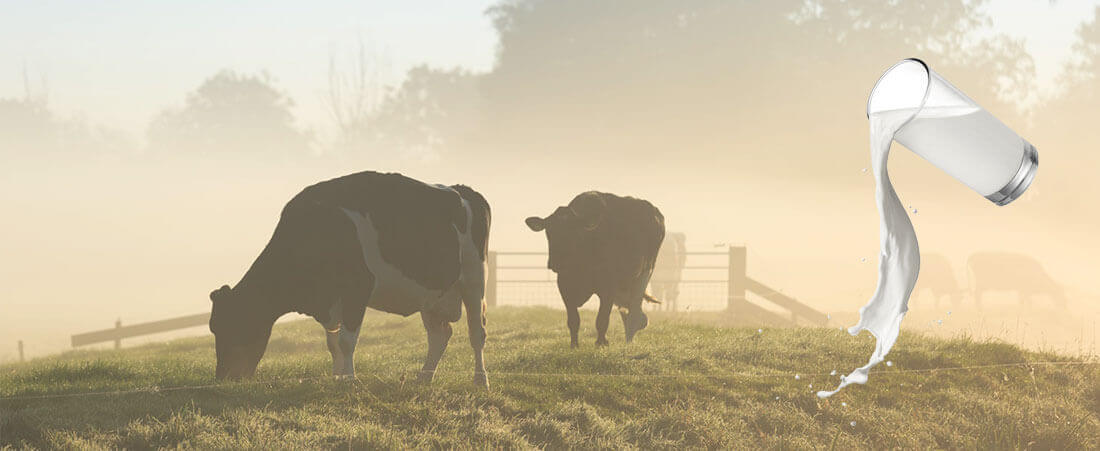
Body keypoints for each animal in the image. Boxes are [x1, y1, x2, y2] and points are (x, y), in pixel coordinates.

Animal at [208, 171, 491, 388]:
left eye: (235, 325)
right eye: (214, 328)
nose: (223, 378)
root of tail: (463, 190)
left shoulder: (357, 290)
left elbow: (346, 341)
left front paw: (351, 380)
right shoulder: (332, 301)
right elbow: (332, 343)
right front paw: (338, 377)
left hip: (474, 280)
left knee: (476, 332)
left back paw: (480, 380)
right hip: (430, 294)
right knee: (440, 335)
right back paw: (423, 378)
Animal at [525, 191, 664, 347]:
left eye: (572, 231)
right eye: (549, 231)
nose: (555, 262)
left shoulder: (608, 288)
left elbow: (602, 319)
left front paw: (601, 343)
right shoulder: (564, 286)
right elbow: (573, 320)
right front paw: (574, 345)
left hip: (644, 274)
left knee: (634, 311)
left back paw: (629, 339)